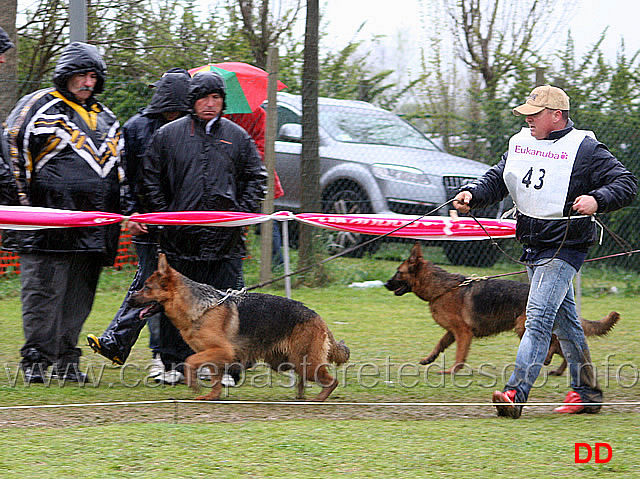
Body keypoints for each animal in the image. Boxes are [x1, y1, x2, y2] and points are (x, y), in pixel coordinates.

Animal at [130, 255, 350, 402]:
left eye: (147, 287)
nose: (130, 297)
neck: (201, 308)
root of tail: (318, 318)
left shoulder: (222, 351)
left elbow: (189, 360)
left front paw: (194, 385)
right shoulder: (214, 355)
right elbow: (213, 377)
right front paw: (212, 396)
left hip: (307, 364)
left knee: (332, 381)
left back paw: (319, 399)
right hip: (296, 362)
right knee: (305, 381)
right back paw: (300, 396)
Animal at [382, 244, 616, 376]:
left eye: (398, 272)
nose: (385, 284)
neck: (442, 288)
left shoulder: (463, 333)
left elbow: (459, 355)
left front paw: (452, 371)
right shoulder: (452, 332)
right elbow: (439, 344)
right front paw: (428, 359)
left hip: (524, 327)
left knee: (553, 344)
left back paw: (550, 362)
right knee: (564, 348)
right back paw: (559, 370)